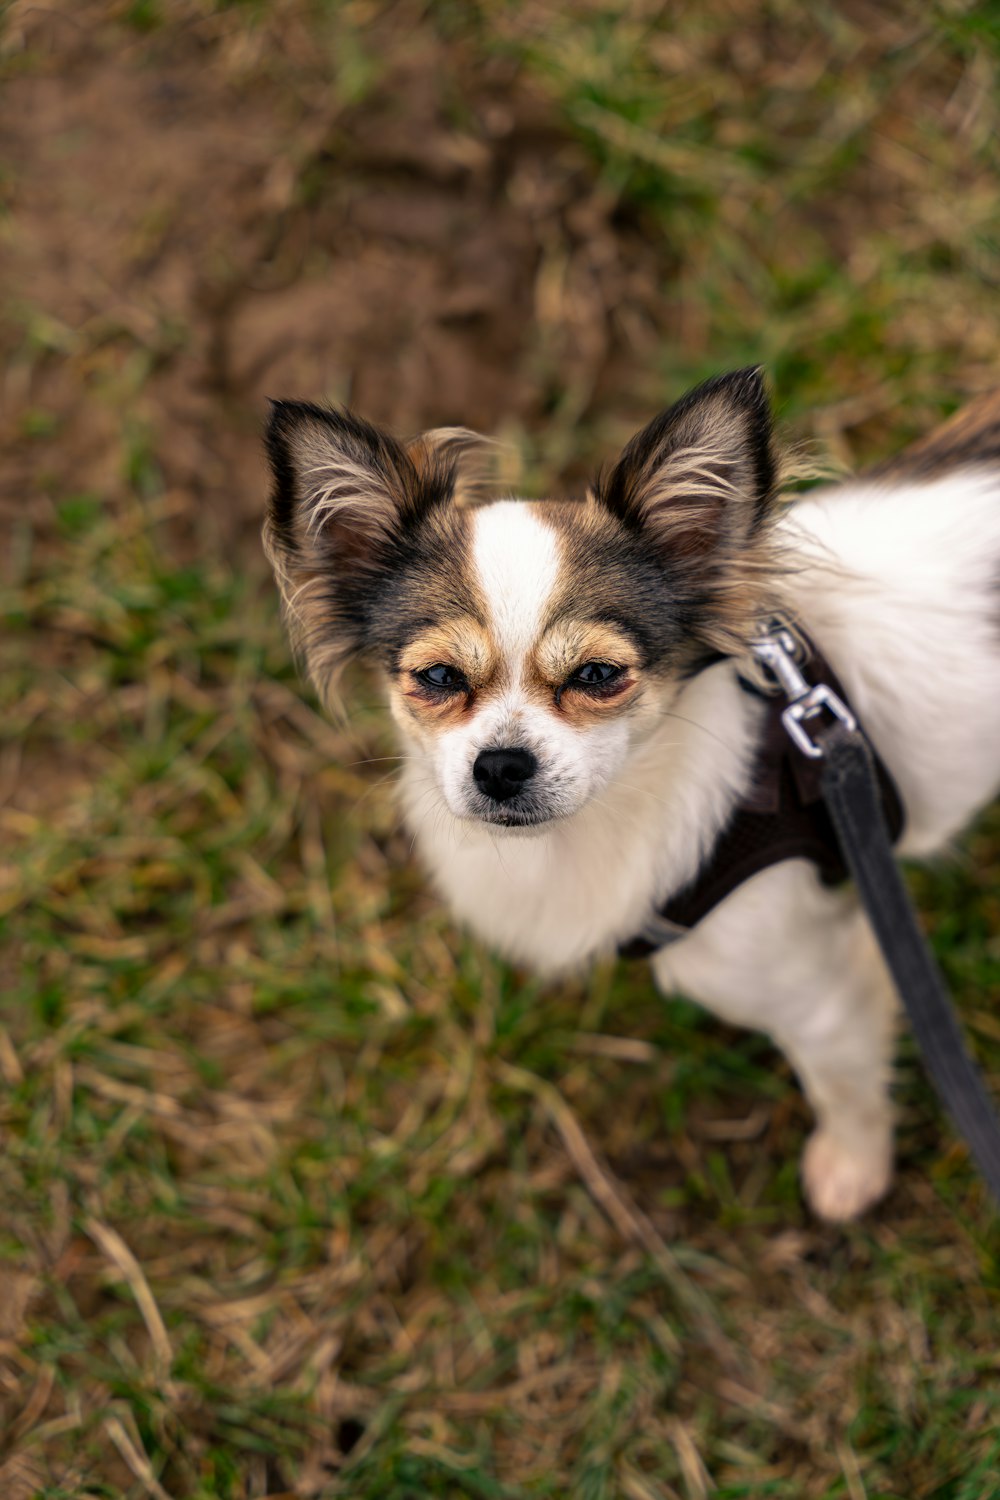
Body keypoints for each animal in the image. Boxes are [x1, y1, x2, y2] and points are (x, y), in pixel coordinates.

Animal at [262, 372, 1000, 1218]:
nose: (501, 765)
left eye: (597, 675)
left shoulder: (821, 994)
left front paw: (852, 1171)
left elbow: (843, 1088)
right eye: (439, 677)